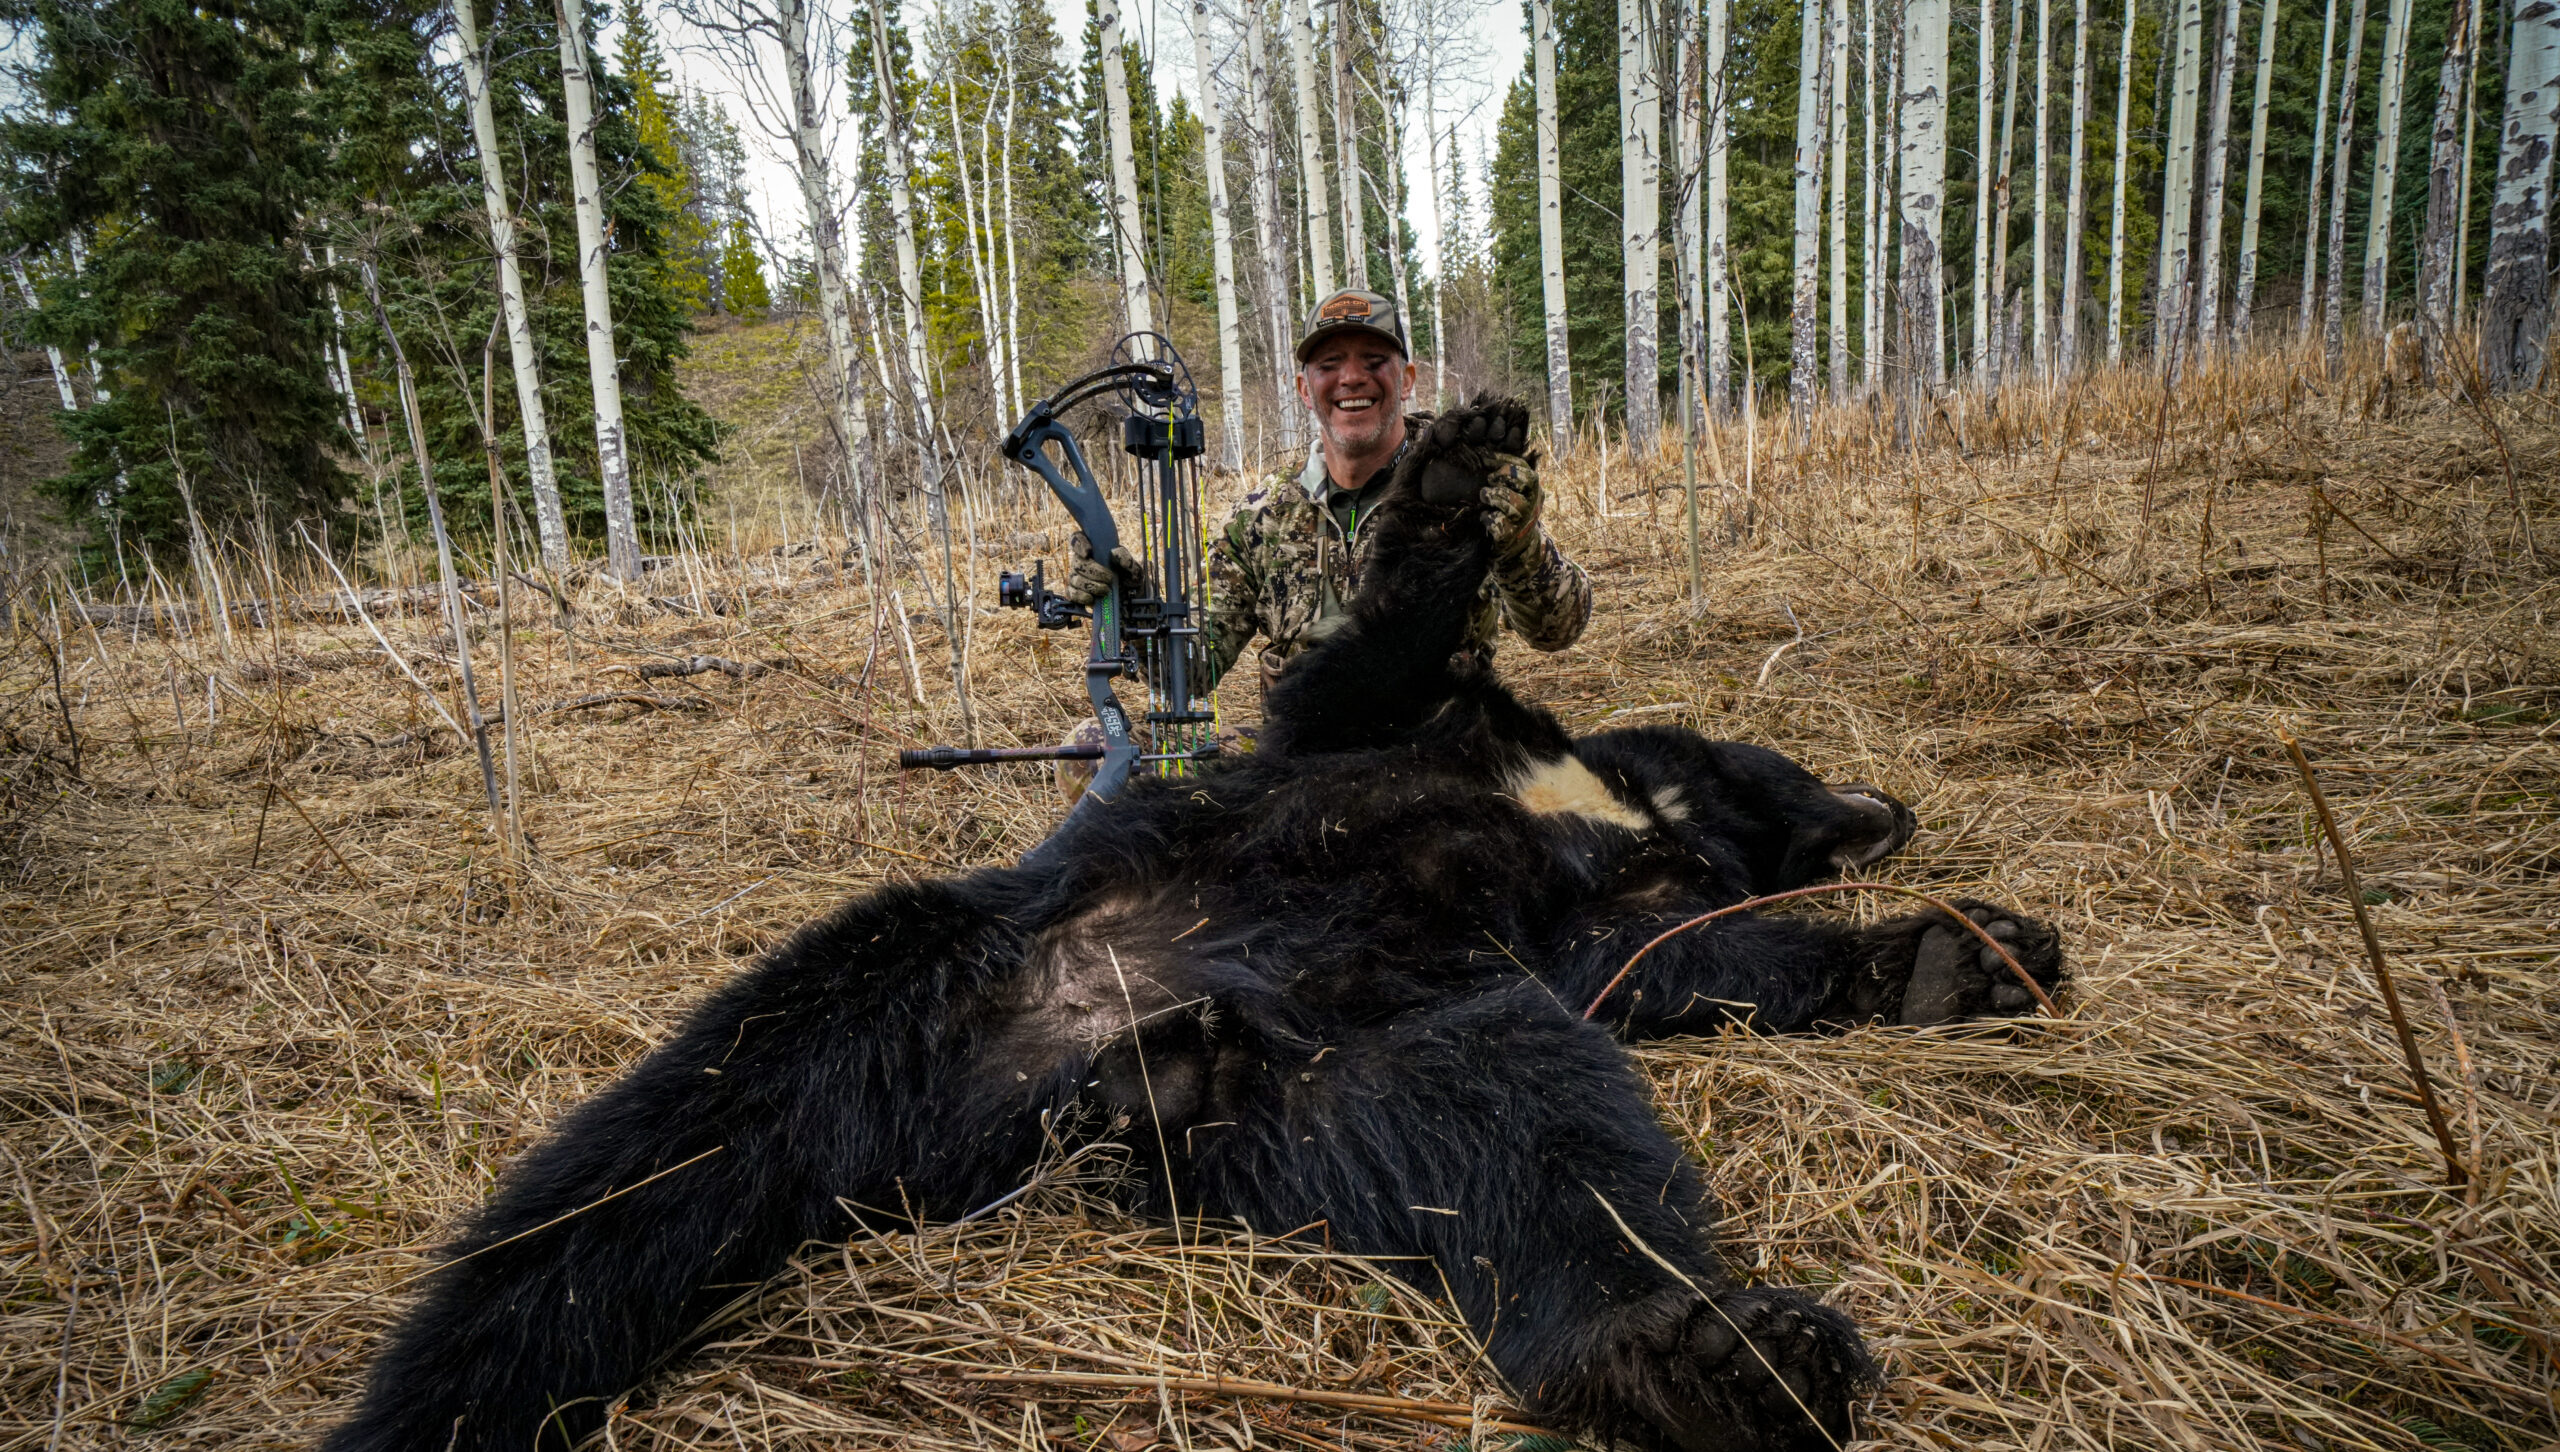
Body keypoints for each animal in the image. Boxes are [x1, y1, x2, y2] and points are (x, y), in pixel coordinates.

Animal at [325, 394, 2058, 1452]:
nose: (1869, 809)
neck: (1628, 801)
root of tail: (1032, 1072)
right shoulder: (1411, 730)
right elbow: (1368, 664)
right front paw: (1456, 476)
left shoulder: (1597, 914)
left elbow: (1669, 968)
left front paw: (1954, 952)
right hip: (877, 971)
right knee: (629, 1180)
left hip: (1351, 1045)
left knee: (1508, 1116)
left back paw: (1681, 1349)